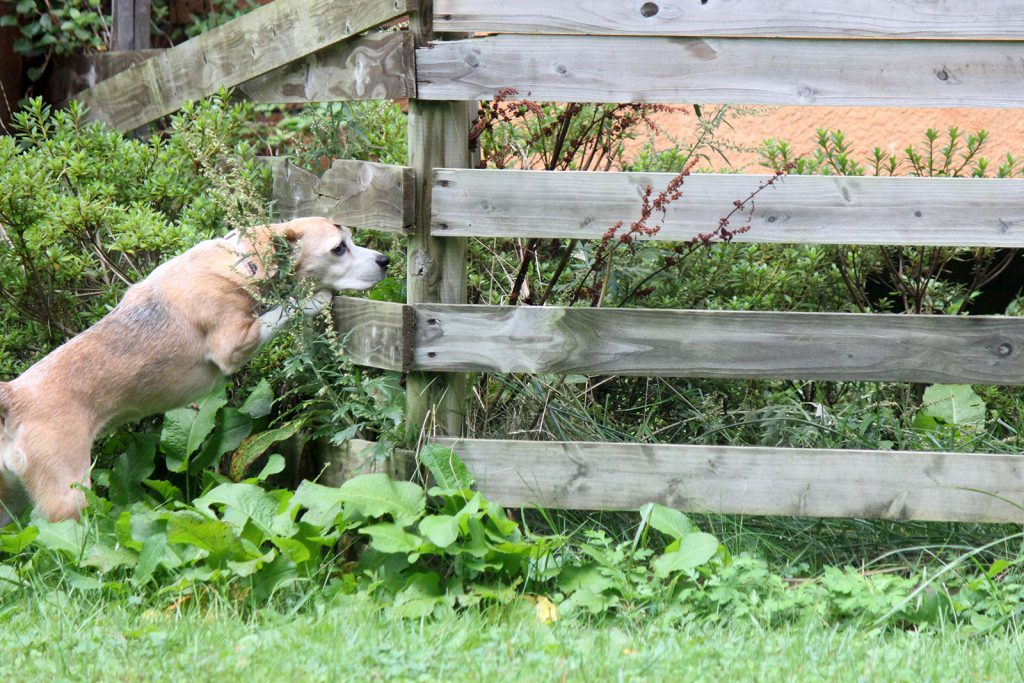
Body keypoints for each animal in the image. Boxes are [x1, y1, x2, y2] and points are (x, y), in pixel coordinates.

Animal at [0, 216, 389, 528]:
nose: (385, 260)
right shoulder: (234, 343)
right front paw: (313, 300)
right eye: (339, 248)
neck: (241, 263)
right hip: (68, 498)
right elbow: (281, 312)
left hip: (12, 501)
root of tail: (14, 396)